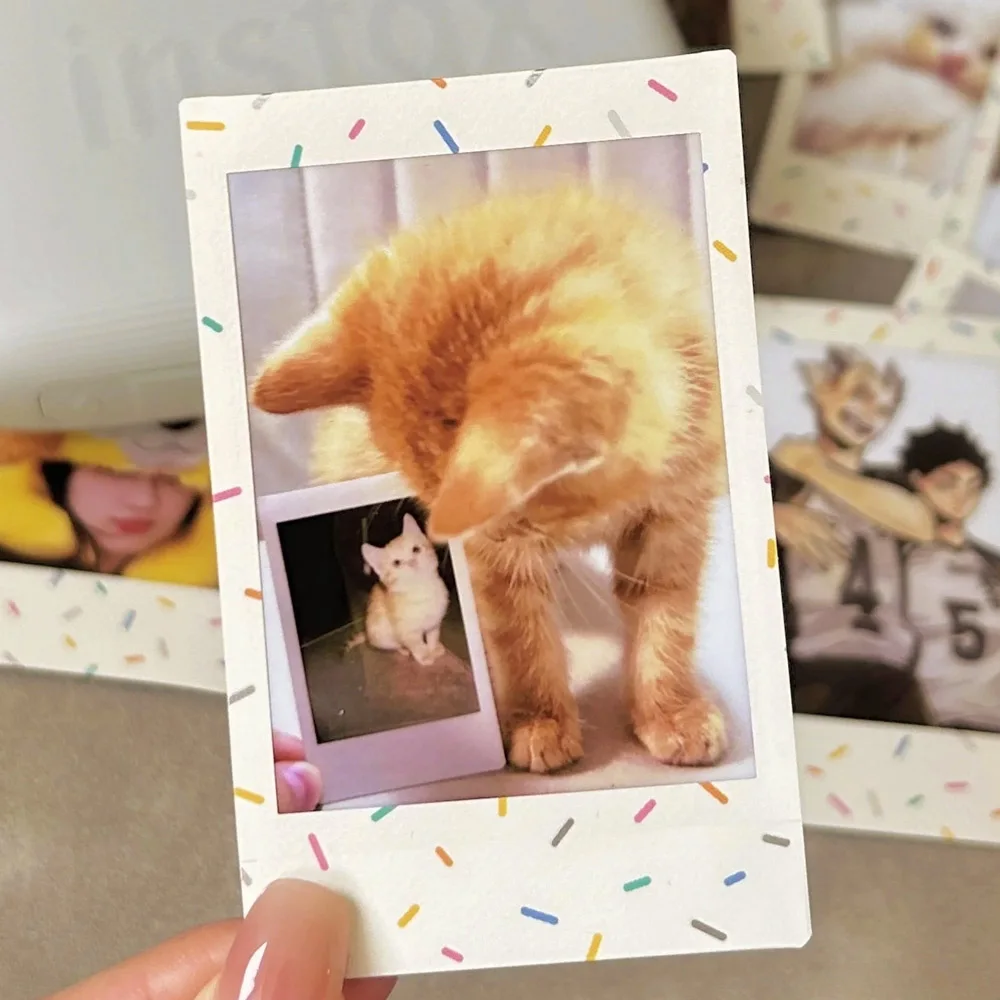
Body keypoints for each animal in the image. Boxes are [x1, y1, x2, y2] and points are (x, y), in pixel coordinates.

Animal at [360, 513, 449, 667]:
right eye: (397, 563)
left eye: (416, 549)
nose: (412, 562)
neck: (422, 589)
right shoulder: (407, 631)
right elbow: (416, 644)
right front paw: (425, 655)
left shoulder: (434, 620)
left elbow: (433, 634)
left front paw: (433, 647)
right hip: (379, 634)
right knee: (394, 644)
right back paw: (403, 650)